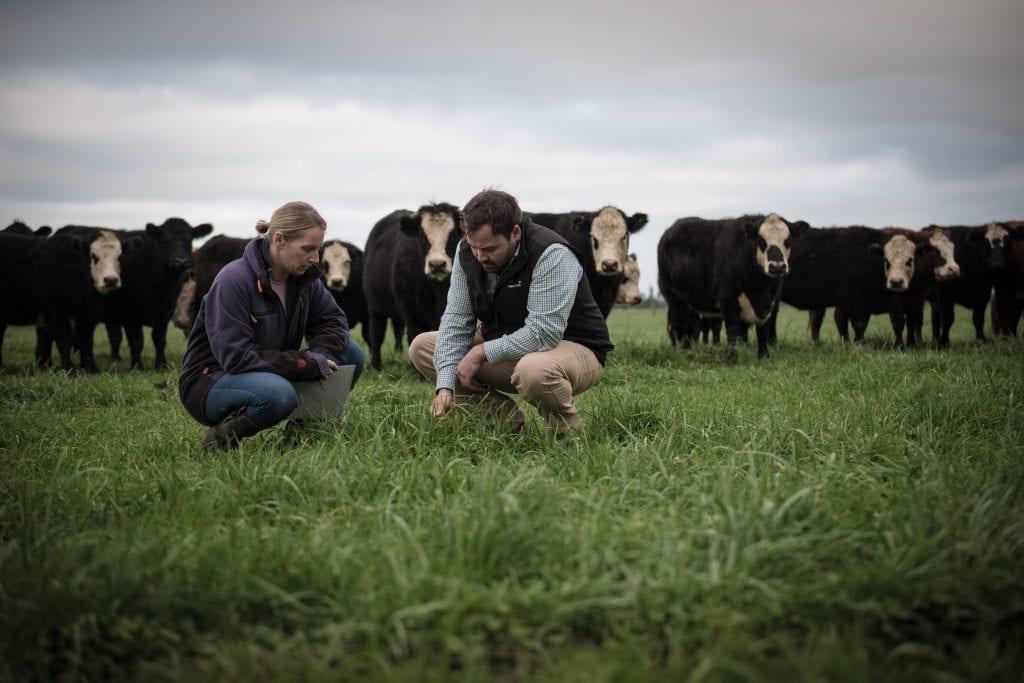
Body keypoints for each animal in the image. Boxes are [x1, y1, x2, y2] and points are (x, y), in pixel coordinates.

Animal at [655, 215, 806, 360]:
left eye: (787, 240)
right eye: (761, 240)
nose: (777, 266)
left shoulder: (769, 304)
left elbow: (762, 331)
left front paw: (763, 356)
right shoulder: (728, 300)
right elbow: (733, 332)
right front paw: (733, 356)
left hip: (691, 303)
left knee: (690, 327)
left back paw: (687, 351)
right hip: (674, 299)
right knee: (676, 326)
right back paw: (677, 352)